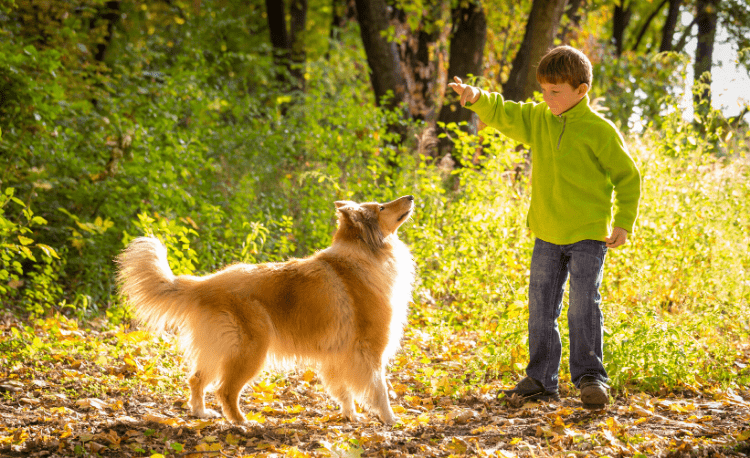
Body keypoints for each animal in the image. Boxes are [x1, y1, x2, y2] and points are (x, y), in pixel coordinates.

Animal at [116, 195, 418, 424]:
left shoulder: (337, 355)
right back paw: (242, 423)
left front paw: (351, 416)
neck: (363, 253)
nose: (411, 197)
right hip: (250, 350)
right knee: (225, 390)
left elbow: (344, 391)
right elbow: (379, 389)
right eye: (381, 208)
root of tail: (205, 284)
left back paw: (202, 413)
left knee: (196, 379)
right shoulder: (370, 350)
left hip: (217, 347)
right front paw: (391, 420)